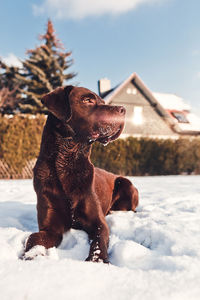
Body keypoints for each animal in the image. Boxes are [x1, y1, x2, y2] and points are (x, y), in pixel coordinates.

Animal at [24, 85, 138, 262]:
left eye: (102, 101)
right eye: (88, 100)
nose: (123, 109)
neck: (66, 160)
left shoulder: (98, 222)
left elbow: (99, 240)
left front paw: (97, 260)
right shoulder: (50, 227)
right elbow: (34, 238)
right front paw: (32, 255)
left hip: (125, 183)